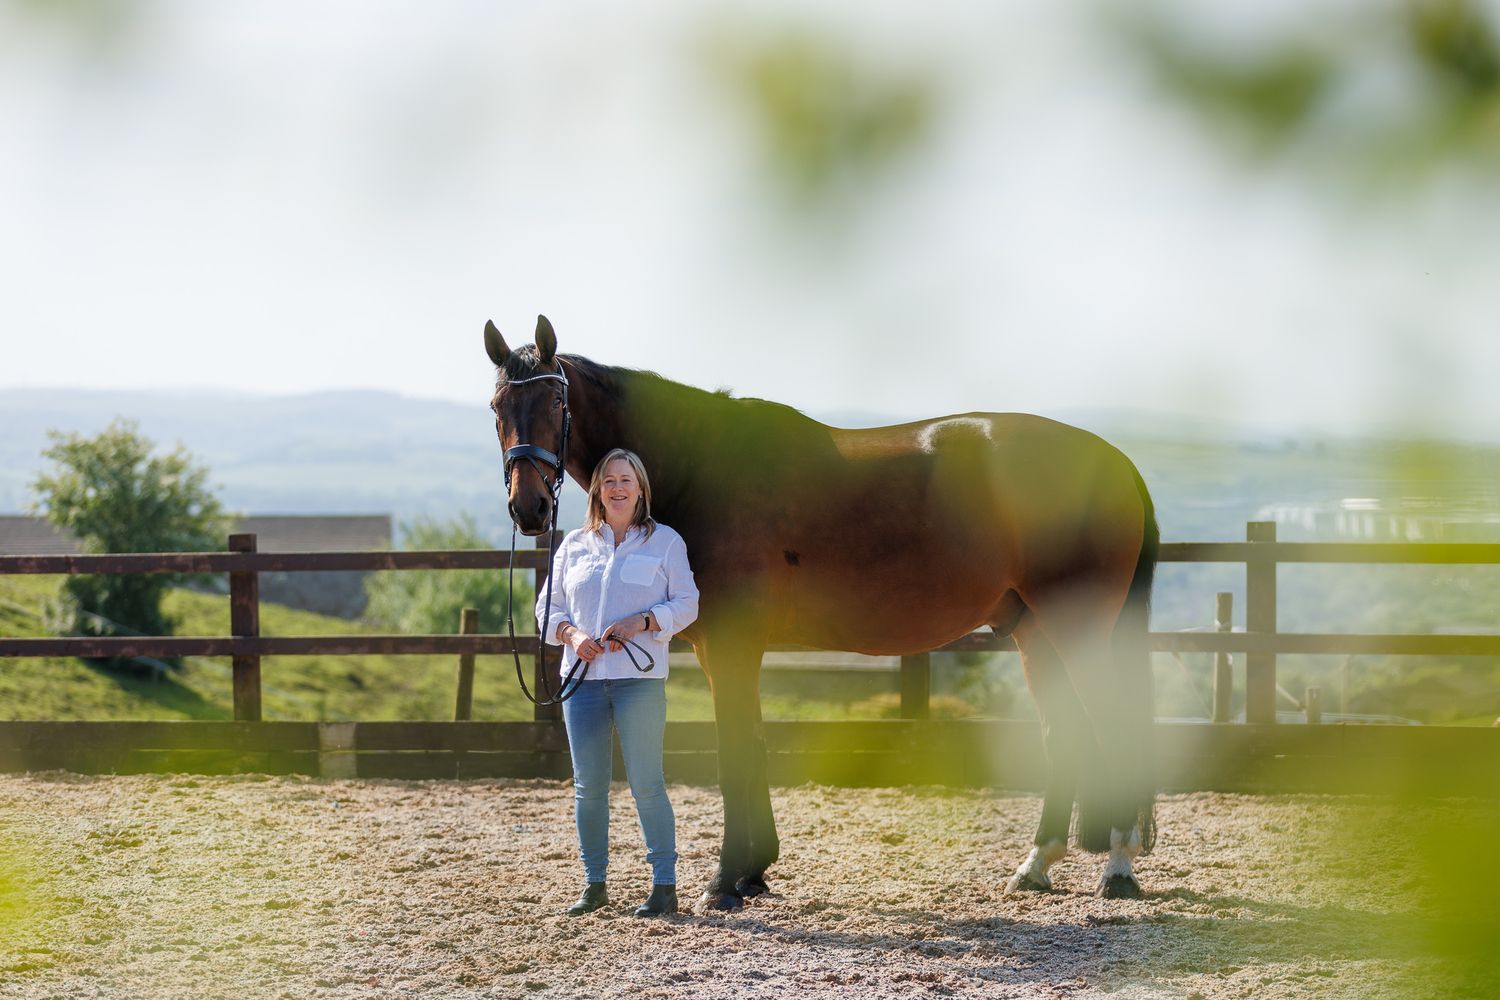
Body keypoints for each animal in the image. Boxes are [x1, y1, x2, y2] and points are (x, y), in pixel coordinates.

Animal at [485, 315, 1160, 910]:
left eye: (555, 403)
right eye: (497, 408)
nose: (528, 507)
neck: (704, 463)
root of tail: (1117, 463)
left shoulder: (730, 644)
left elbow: (735, 750)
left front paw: (724, 882)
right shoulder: (735, 648)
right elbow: (755, 745)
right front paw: (754, 872)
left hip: (1078, 628)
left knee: (1115, 726)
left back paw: (1118, 869)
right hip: (1034, 634)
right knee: (1063, 732)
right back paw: (1037, 865)